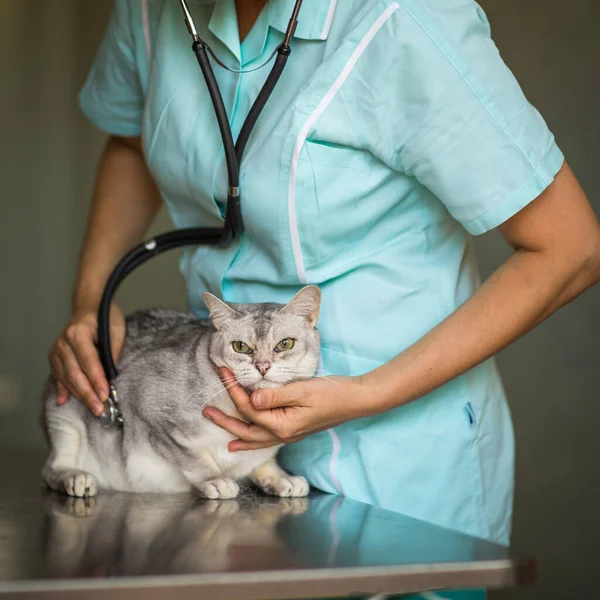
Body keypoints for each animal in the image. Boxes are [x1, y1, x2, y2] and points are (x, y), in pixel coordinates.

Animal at [41, 284, 324, 500]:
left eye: (284, 344)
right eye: (241, 347)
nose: (262, 366)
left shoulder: (262, 450)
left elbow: (263, 461)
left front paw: (280, 478)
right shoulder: (147, 407)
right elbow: (192, 457)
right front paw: (215, 480)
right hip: (64, 415)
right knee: (50, 468)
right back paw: (75, 477)